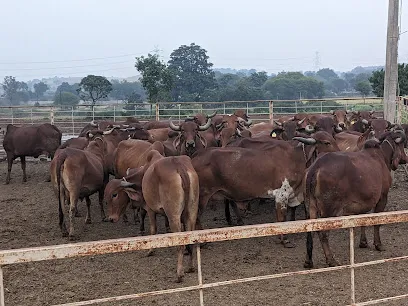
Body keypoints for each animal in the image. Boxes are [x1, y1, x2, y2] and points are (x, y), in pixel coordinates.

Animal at [105, 151, 199, 282]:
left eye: (114, 195)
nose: (111, 218)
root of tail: (178, 165)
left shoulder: (150, 209)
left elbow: (153, 229)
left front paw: (150, 250)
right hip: (192, 212)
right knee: (192, 239)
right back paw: (191, 267)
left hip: (174, 216)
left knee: (180, 244)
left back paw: (179, 273)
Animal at [304, 128, 406, 266]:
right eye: (401, 144)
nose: (405, 159)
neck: (381, 155)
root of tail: (315, 168)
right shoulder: (383, 197)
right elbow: (377, 222)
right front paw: (378, 244)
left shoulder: (363, 201)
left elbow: (362, 220)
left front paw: (363, 242)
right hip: (328, 209)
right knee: (323, 233)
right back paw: (331, 259)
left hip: (310, 206)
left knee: (309, 231)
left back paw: (308, 260)